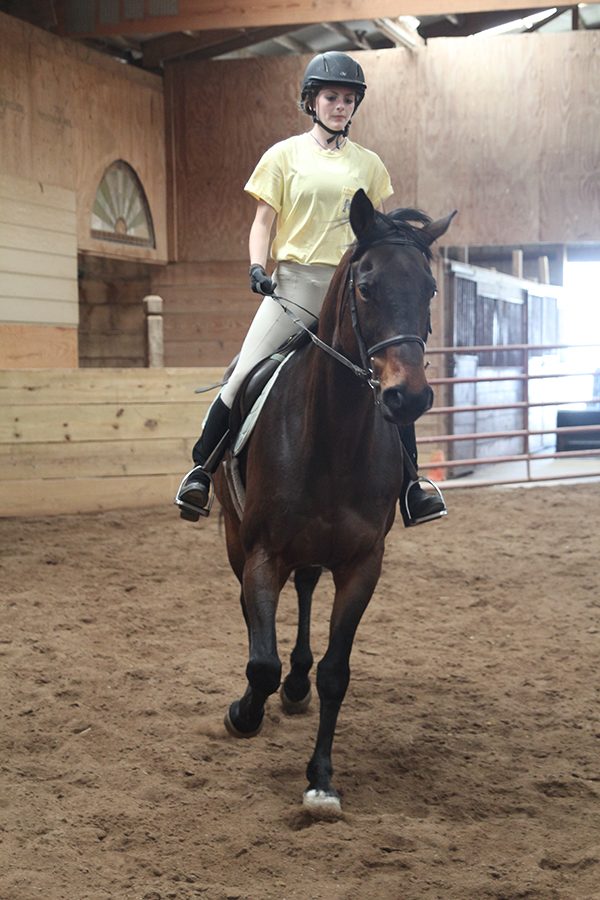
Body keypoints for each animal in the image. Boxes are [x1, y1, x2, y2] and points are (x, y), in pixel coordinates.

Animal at [213, 188, 452, 816]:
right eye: (366, 286)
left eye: (429, 288)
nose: (407, 397)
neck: (332, 433)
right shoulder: (262, 553)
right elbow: (261, 661)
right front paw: (243, 713)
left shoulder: (362, 563)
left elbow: (335, 673)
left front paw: (321, 779)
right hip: (235, 537)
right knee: (255, 610)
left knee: (304, 593)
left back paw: (296, 686)